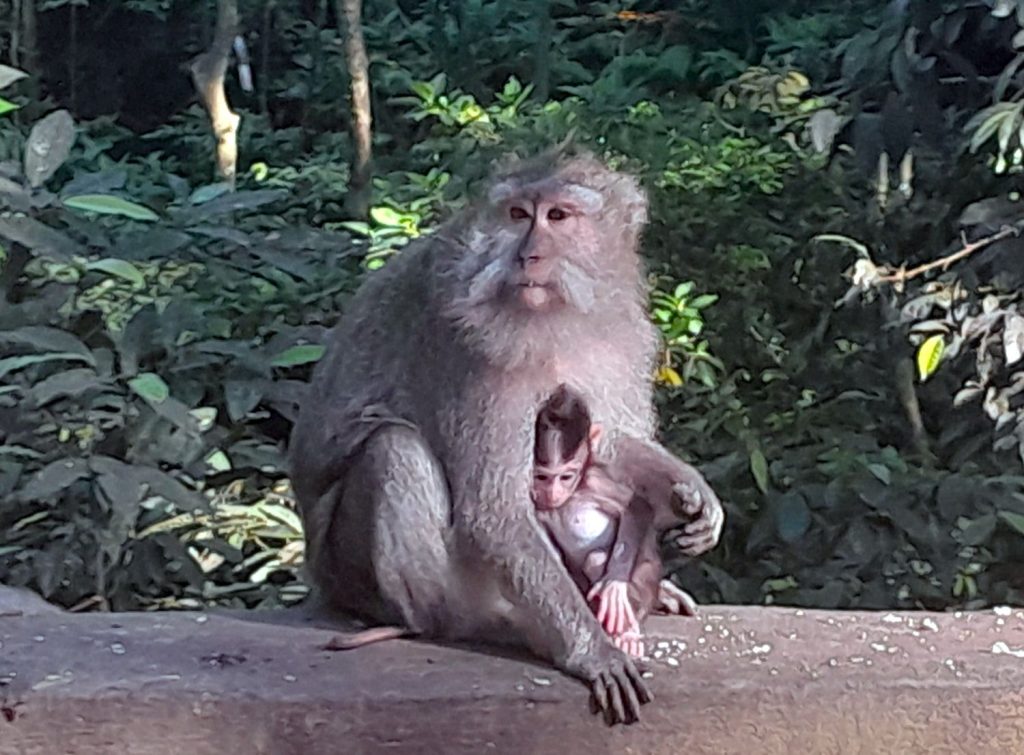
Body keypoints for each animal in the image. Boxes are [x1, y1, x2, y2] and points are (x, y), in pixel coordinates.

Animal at [531, 385, 700, 659]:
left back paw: (627, 626)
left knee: (598, 558)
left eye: (566, 476)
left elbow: (638, 506)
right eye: (542, 477)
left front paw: (614, 587)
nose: (553, 492)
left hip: (646, 578)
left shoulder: (594, 481)